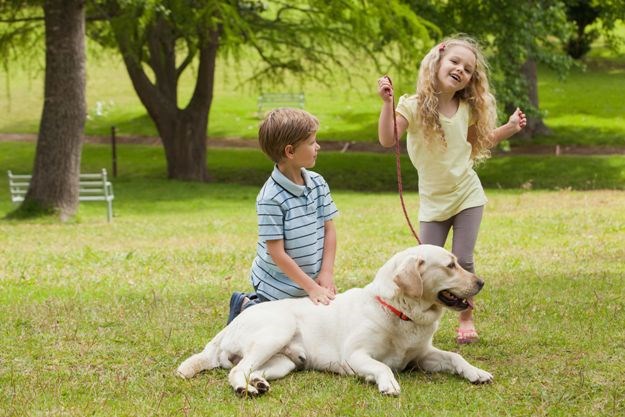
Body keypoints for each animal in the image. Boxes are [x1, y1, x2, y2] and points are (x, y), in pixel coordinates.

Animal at [177, 245, 492, 394]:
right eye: (450, 265)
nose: (481, 282)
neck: (399, 310)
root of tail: (230, 325)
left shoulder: (423, 355)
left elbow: (455, 356)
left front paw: (476, 372)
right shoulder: (355, 356)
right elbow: (382, 366)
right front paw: (388, 384)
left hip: (284, 362)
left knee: (250, 369)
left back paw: (258, 383)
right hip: (278, 330)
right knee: (235, 371)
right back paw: (245, 389)